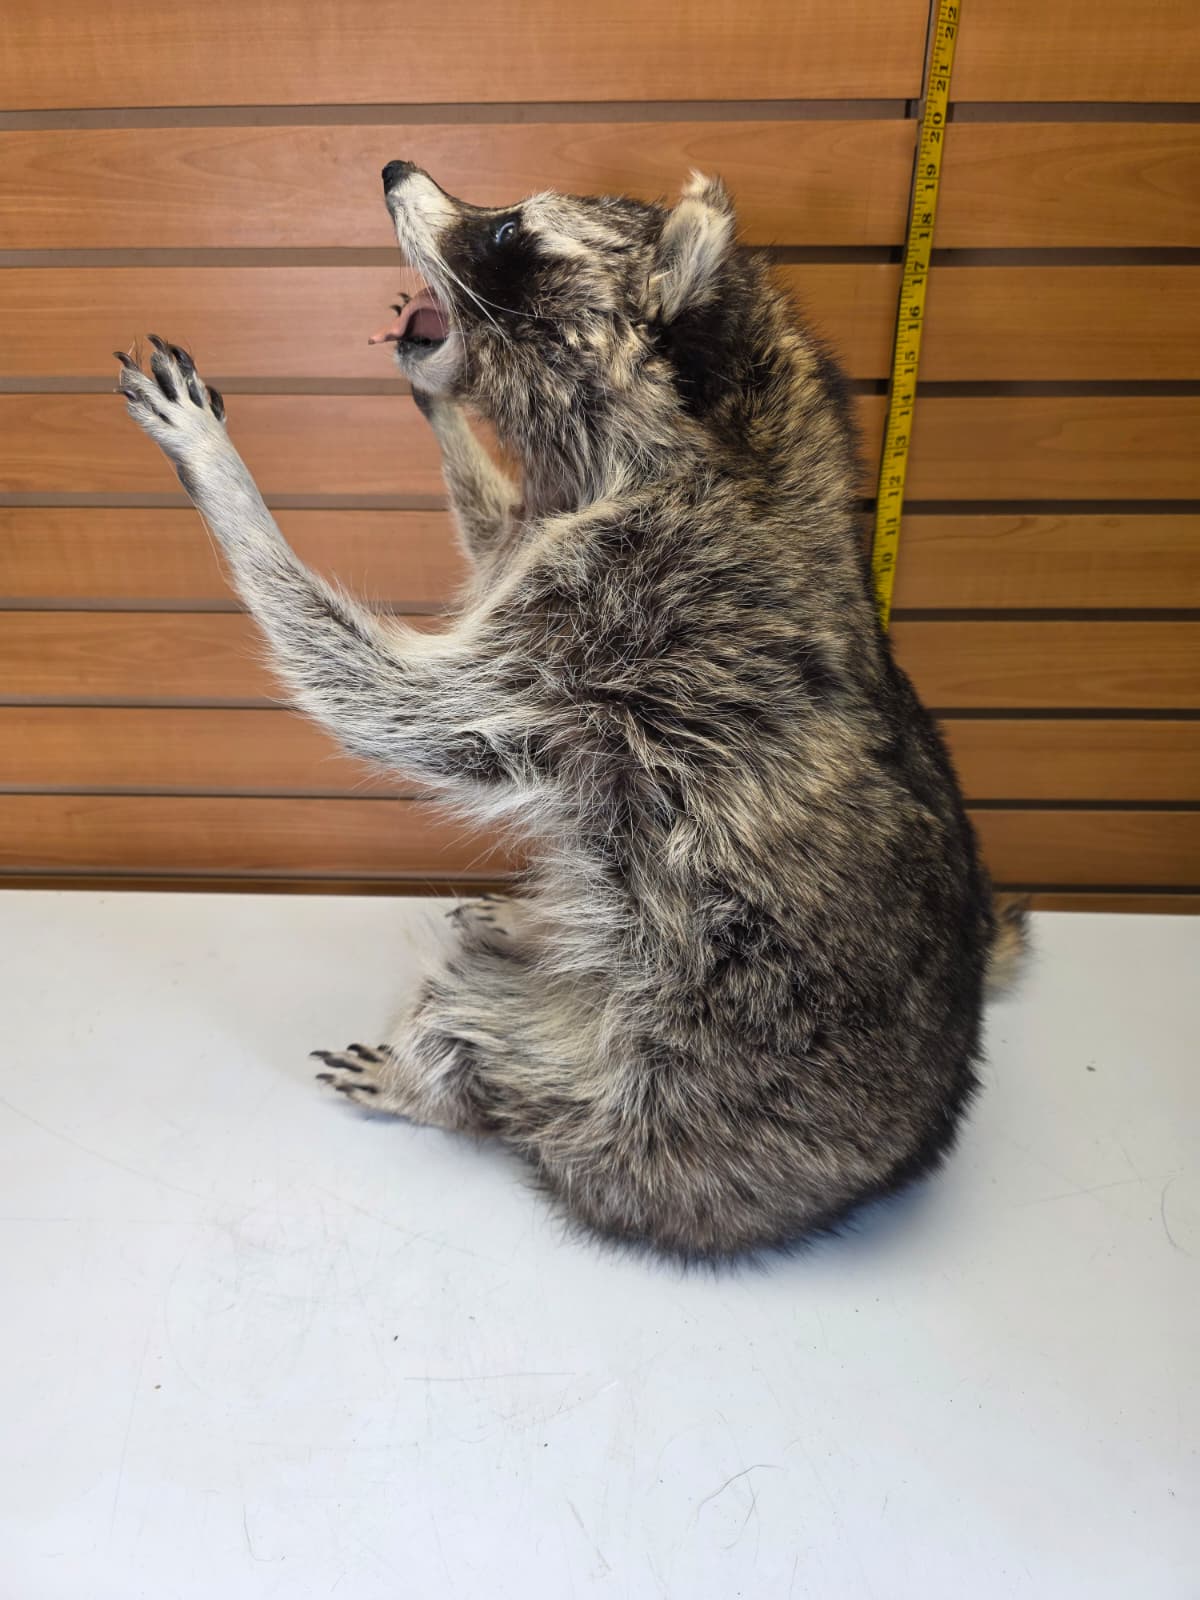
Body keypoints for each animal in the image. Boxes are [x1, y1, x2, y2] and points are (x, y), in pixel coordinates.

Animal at [118, 163, 1025, 1261]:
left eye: (510, 233)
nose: (393, 172)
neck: (729, 439)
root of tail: (909, 1147)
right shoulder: (571, 548)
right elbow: (498, 530)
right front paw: (441, 407)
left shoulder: (622, 620)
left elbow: (397, 704)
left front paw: (225, 480)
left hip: (622, 1097)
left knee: (476, 1024)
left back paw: (432, 1081)